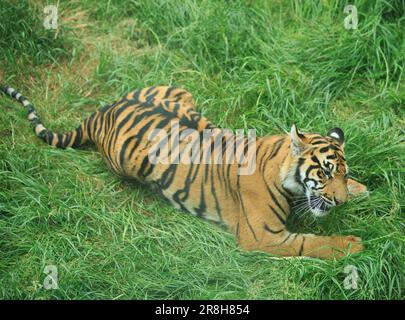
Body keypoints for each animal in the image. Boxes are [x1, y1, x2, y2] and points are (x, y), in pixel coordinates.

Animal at [0, 85, 368, 260]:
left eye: (341, 173)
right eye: (324, 173)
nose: (341, 202)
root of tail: (104, 111)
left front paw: (360, 189)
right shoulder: (264, 236)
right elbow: (310, 243)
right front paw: (352, 245)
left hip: (178, 92)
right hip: (125, 161)